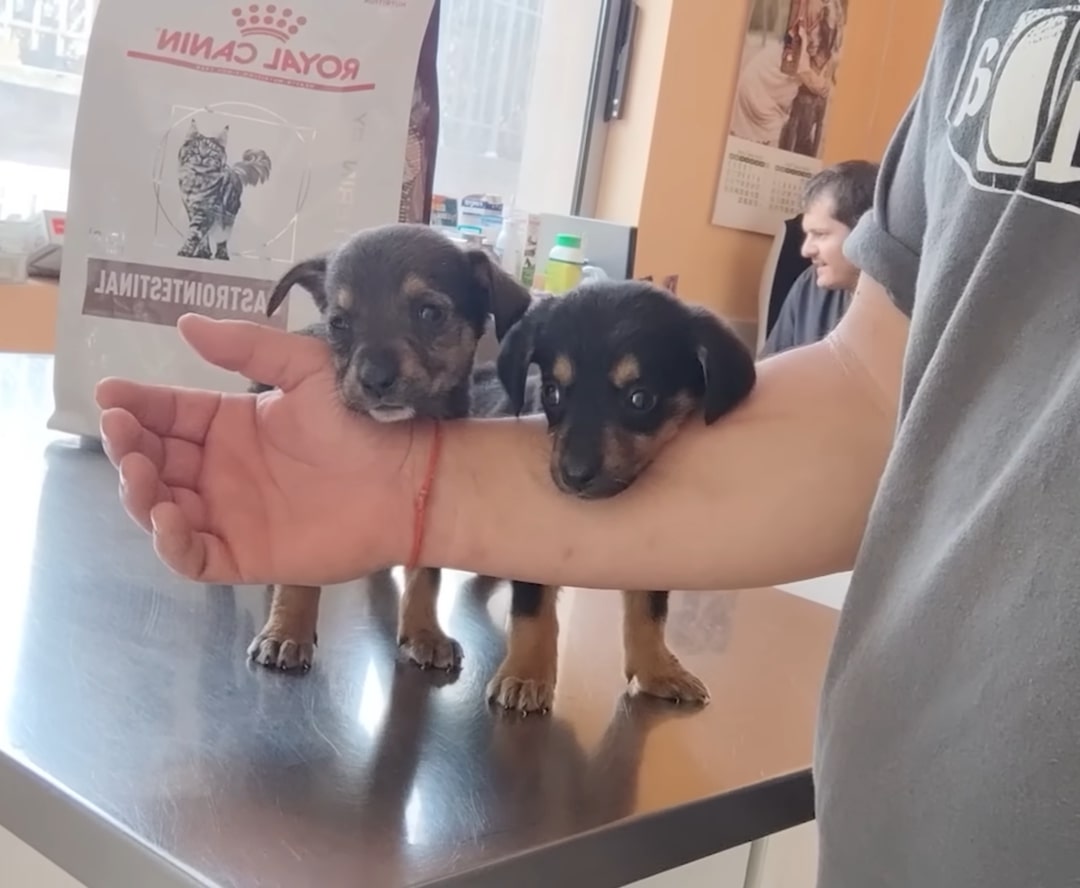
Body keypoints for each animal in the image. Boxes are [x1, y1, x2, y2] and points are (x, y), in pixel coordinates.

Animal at [243, 225, 537, 687]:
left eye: (430, 313)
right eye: (340, 324)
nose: (375, 379)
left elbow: (427, 577)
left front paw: (424, 631)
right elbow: (303, 573)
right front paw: (286, 631)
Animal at [496, 278, 760, 708]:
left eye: (640, 398)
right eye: (552, 392)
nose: (575, 475)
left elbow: (649, 610)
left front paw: (659, 669)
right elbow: (533, 608)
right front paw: (526, 674)